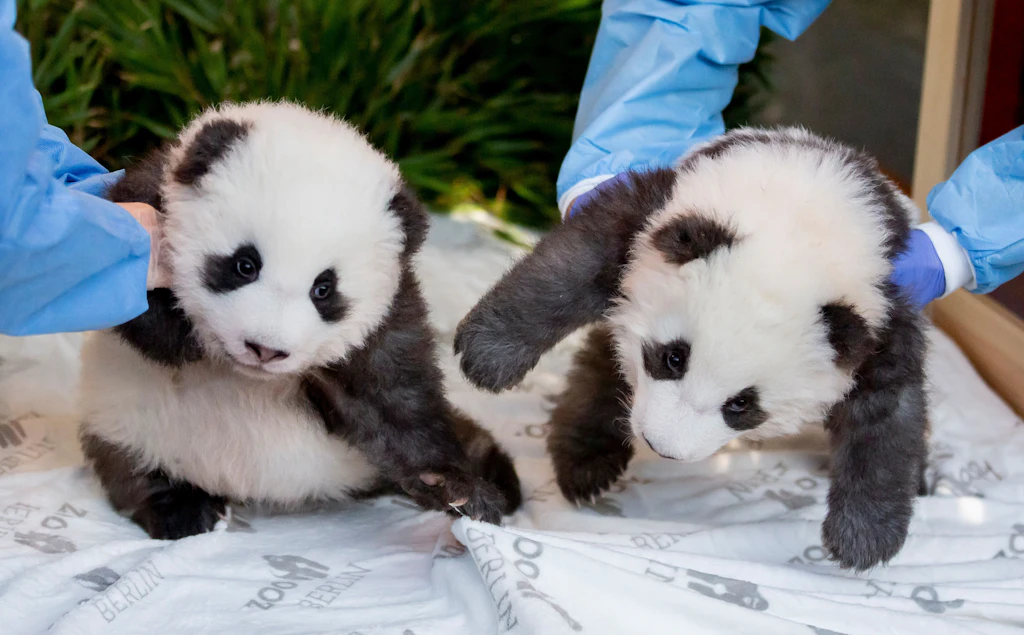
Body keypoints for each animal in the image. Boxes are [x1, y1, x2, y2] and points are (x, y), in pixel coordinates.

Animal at [78, 101, 521, 540]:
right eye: (245, 264)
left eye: (324, 289)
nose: (265, 350)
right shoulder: (145, 198)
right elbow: (120, 290)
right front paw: (187, 337)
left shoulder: (388, 313)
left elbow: (398, 399)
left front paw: (459, 489)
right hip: (129, 423)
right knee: (132, 468)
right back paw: (183, 509)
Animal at [453, 127, 929, 571]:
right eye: (673, 358)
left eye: (741, 404)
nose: (662, 446)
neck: (802, 226)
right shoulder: (661, 211)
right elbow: (572, 264)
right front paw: (489, 354)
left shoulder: (880, 313)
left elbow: (887, 415)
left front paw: (864, 536)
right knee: (604, 368)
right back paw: (586, 464)